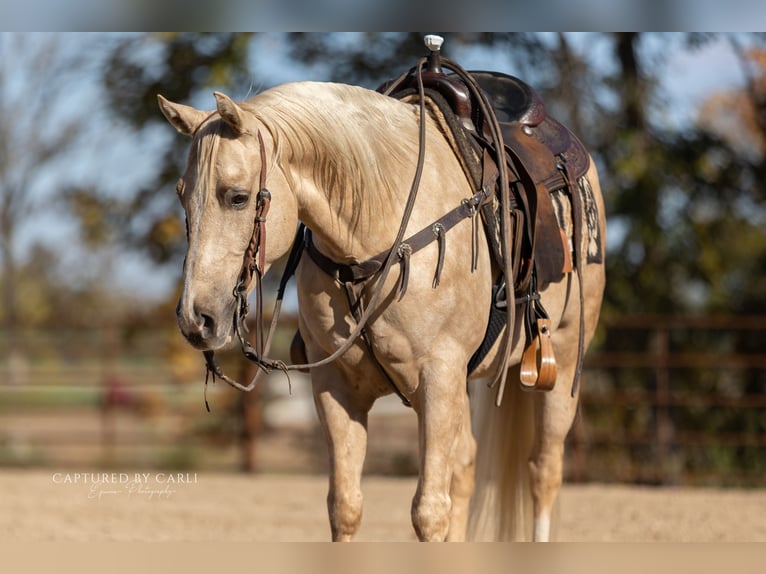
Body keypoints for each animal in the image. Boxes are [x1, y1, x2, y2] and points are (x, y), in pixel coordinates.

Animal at [158, 73, 605, 541]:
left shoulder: (438, 380)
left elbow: (429, 511)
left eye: (238, 197)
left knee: (543, 471)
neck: (377, 231)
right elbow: (346, 506)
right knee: (466, 465)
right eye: (183, 196)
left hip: (562, 365)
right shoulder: (337, 388)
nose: (195, 318)